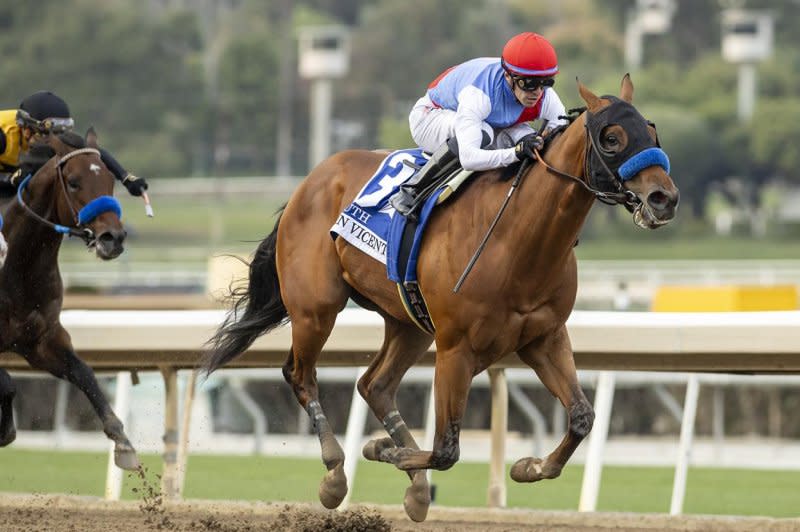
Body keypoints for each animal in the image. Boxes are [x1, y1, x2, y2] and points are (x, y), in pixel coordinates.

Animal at [0, 132, 139, 470]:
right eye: (74, 182)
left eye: (109, 180)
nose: (113, 238)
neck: (17, 266)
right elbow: (7, 382)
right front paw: (6, 429)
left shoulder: (41, 341)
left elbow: (84, 373)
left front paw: (123, 443)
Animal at [203, 75, 680, 520]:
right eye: (612, 138)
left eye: (651, 132)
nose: (665, 198)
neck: (518, 239)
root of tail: (311, 180)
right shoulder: (457, 348)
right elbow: (447, 449)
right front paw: (384, 451)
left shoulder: (543, 338)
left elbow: (582, 417)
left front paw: (527, 466)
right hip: (316, 309)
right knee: (301, 374)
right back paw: (336, 474)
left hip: (409, 323)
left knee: (375, 384)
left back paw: (414, 490)